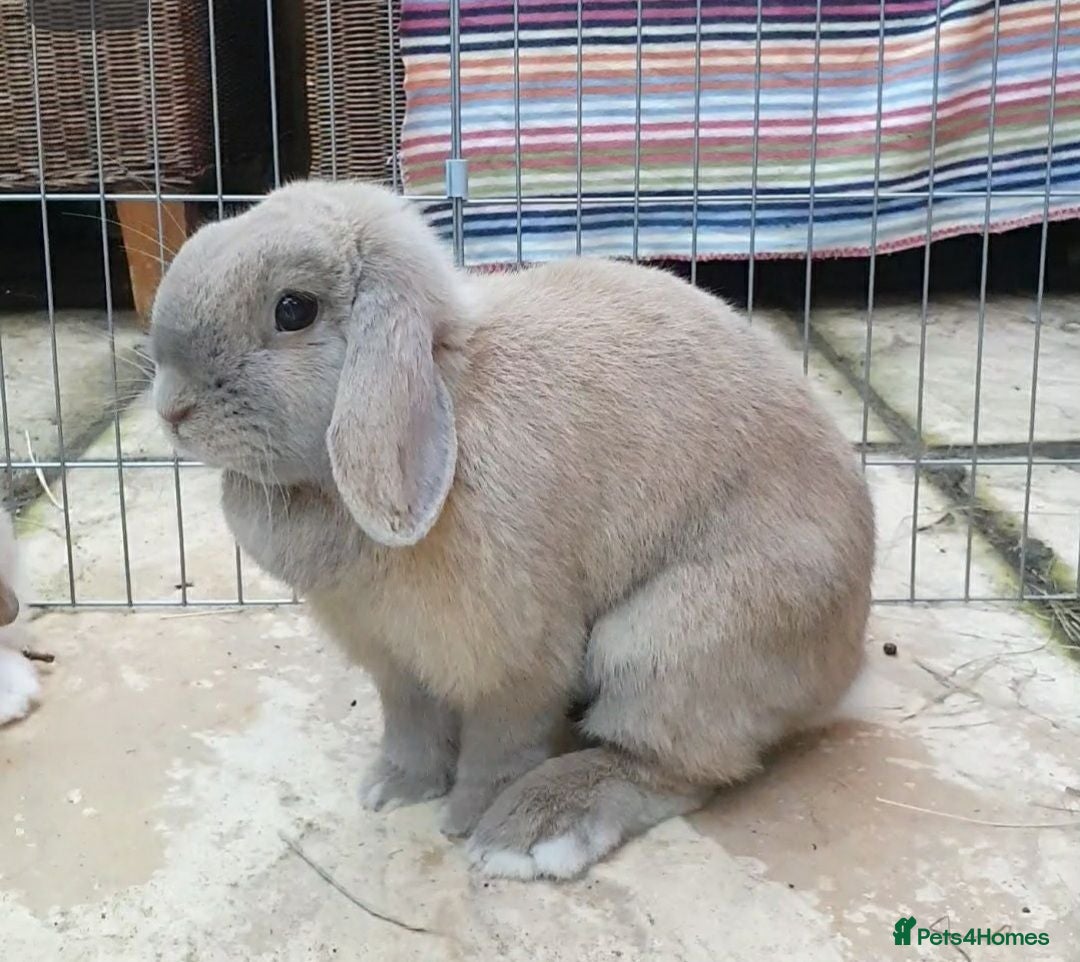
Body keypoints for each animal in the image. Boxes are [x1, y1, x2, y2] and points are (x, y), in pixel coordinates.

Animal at [148, 180, 875, 880]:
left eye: (293, 310)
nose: (171, 410)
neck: (448, 391)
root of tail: (844, 667)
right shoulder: (395, 664)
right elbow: (410, 727)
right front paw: (392, 790)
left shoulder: (519, 658)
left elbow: (501, 744)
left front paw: (466, 820)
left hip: (665, 647)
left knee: (672, 769)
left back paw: (536, 828)